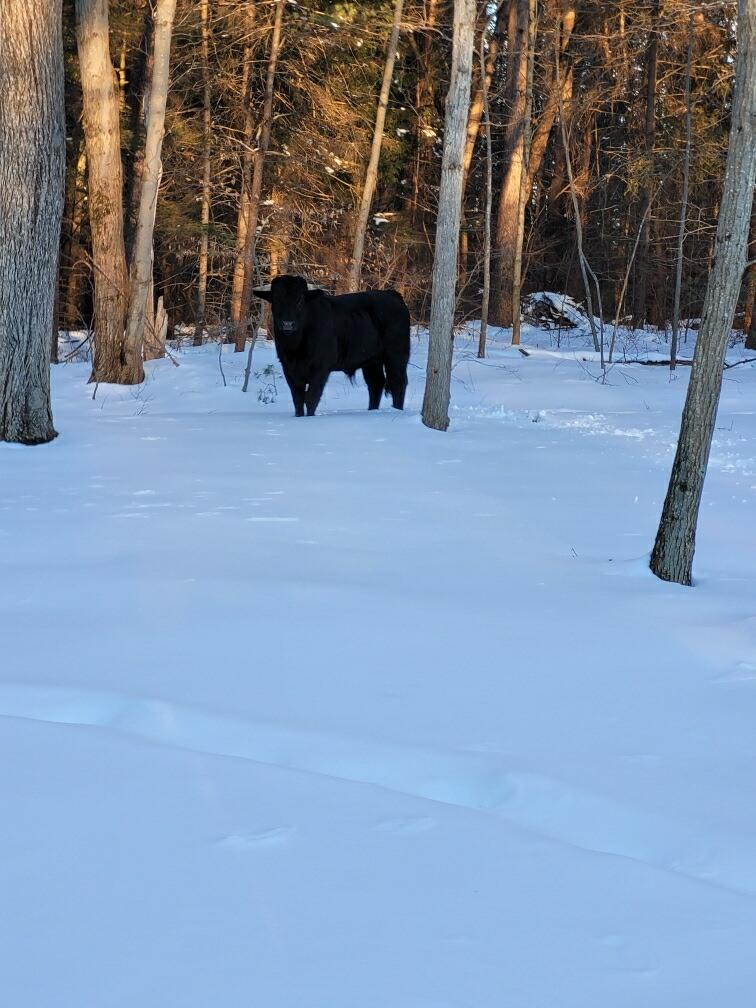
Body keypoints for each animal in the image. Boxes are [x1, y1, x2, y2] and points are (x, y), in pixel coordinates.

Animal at [253, 274, 409, 415]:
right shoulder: (289, 369)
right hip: (371, 361)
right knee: (375, 384)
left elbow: (311, 398)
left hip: (396, 355)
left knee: (398, 383)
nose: (288, 324)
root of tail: (392, 294)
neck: (295, 348)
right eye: (276, 299)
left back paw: (397, 410)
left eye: (300, 300)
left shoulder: (321, 368)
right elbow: (298, 400)